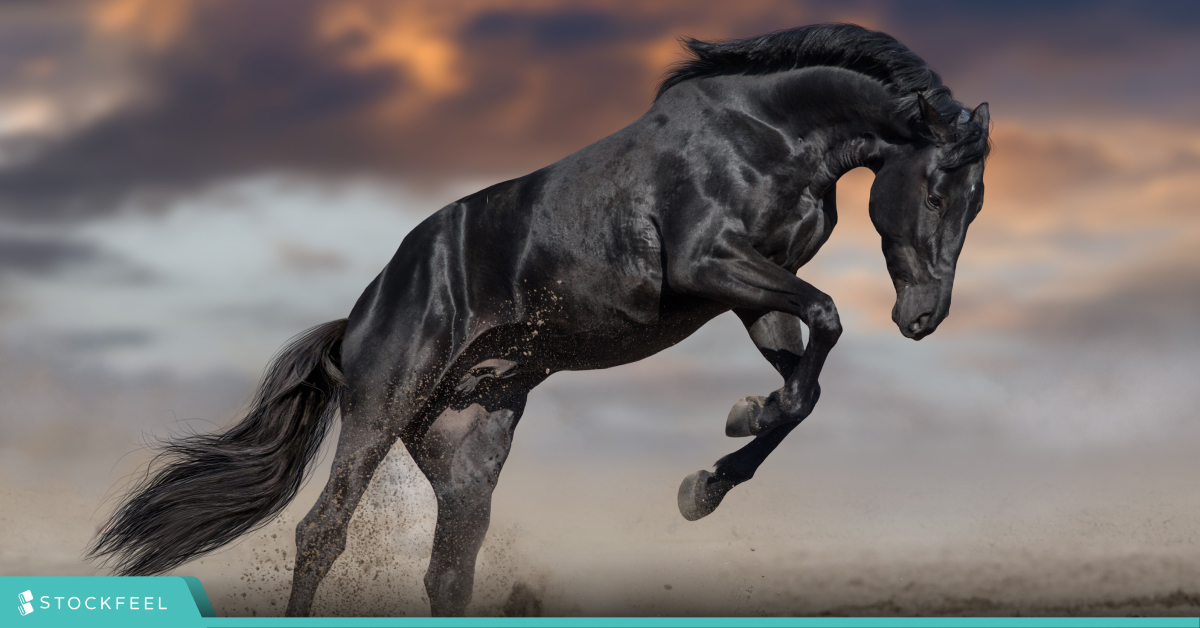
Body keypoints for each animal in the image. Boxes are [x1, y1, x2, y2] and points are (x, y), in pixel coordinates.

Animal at [87, 23, 991, 616]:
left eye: (977, 202)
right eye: (937, 190)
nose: (923, 318)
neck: (767, 134)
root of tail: (359, 314)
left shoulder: (750, 294)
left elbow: (803, 386)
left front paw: (713, 469)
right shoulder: (712, 264)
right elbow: (828, 320)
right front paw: (726, 446)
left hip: (467, 445)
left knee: (448, 570)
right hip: (381, 409)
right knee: (323, 531)